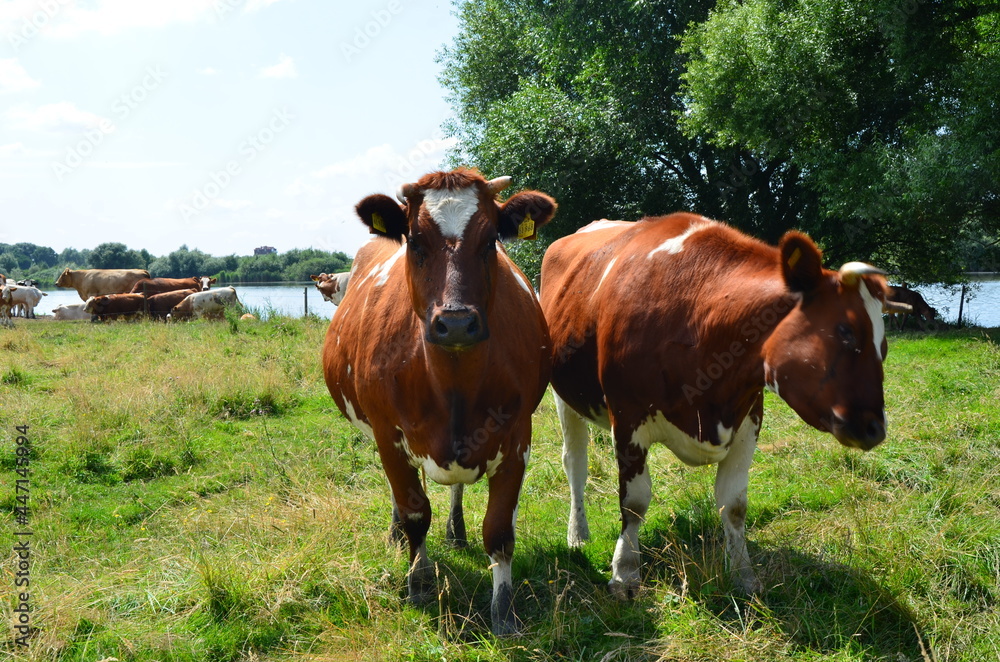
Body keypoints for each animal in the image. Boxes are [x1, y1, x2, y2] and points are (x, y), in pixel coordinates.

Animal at [323, 169, 556, 635]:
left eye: (490, 240)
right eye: (415, 241)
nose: (456, 322)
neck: (453, 381)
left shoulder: (518, 436)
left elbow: (499, 531)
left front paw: (504, 611)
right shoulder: (388, 435)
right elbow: (416, 514)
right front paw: (418, 582)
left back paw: (456, 530)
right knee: (406, 498)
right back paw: (398, 534)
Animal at [539, 213, 907, 599]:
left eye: (884, 346)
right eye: (846, 332)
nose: (875, 428)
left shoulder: (748, 417)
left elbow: (734, 505)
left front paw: (743, 574)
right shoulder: (627, 418)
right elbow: (635, 503)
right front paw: (625, 573)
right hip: (564, 396)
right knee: (575, 465)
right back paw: (578, 534)